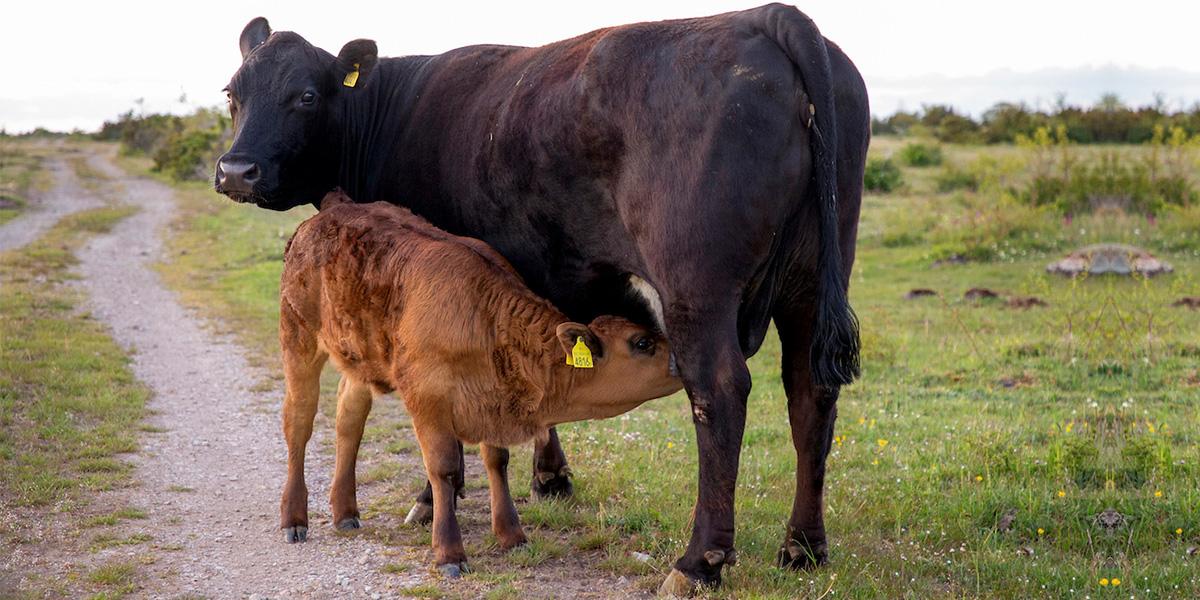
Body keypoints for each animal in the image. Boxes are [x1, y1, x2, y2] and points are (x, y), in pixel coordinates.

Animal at [274, 193, 681, 576]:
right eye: (642, 342)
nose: (680, 358)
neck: (483, 318)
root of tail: (334, 208)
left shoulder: (493, 398)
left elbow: (497, 461)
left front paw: (511, 535)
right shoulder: (427, 398)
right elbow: (444, 469)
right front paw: (449, 553)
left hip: (359, 358)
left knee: (349, 420)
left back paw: (345, 511)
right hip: (298, 339)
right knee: (299, 421)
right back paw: (294, 518)